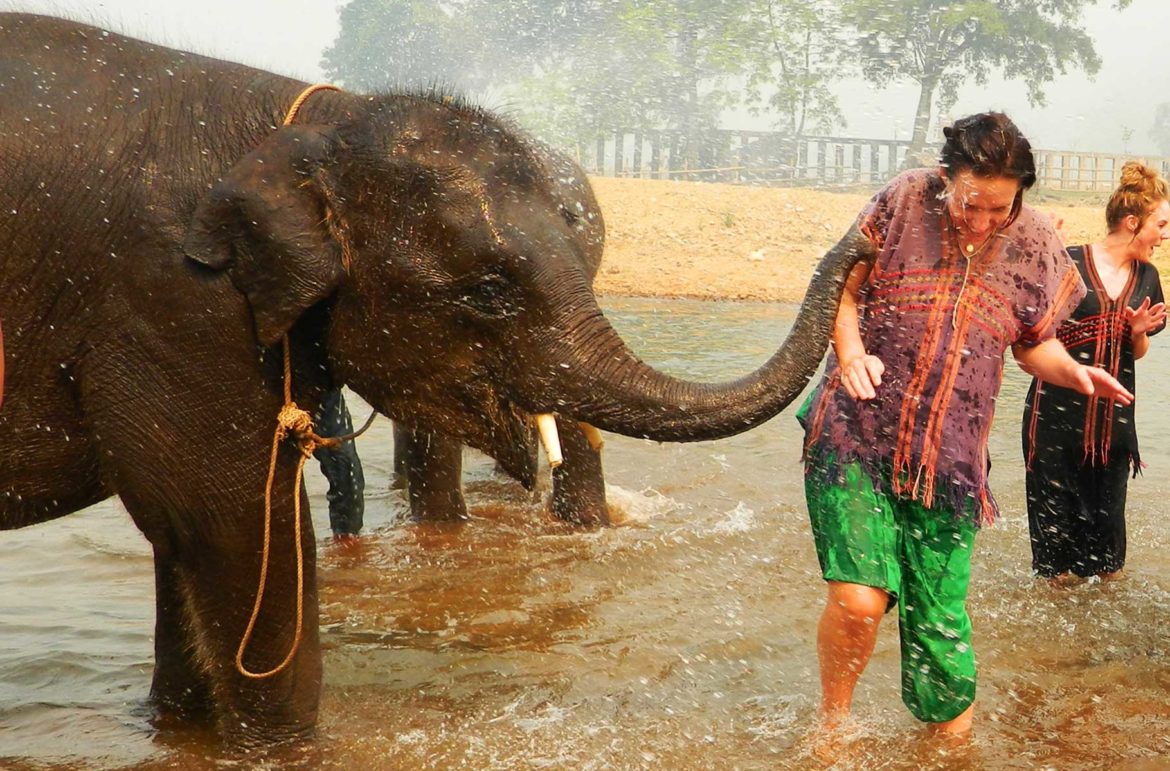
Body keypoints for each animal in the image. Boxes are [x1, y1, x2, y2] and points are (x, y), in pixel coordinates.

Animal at [0, 12, 870, 748]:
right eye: (487, 291)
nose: (859, 244)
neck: (312, 127)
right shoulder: (177, 299)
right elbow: (230, 523)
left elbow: (199, 528)